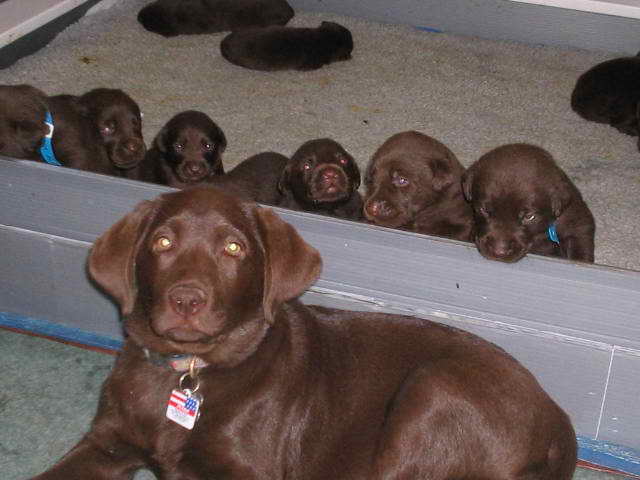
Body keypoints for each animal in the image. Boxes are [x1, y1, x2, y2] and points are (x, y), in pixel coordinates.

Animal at [31, 185, 580, 480]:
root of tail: (560, 424)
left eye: (234, 249)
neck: (185, 372)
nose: (187, 300)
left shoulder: (247, 471)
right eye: (163, 242)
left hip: (431, 393)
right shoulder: (104, 444)